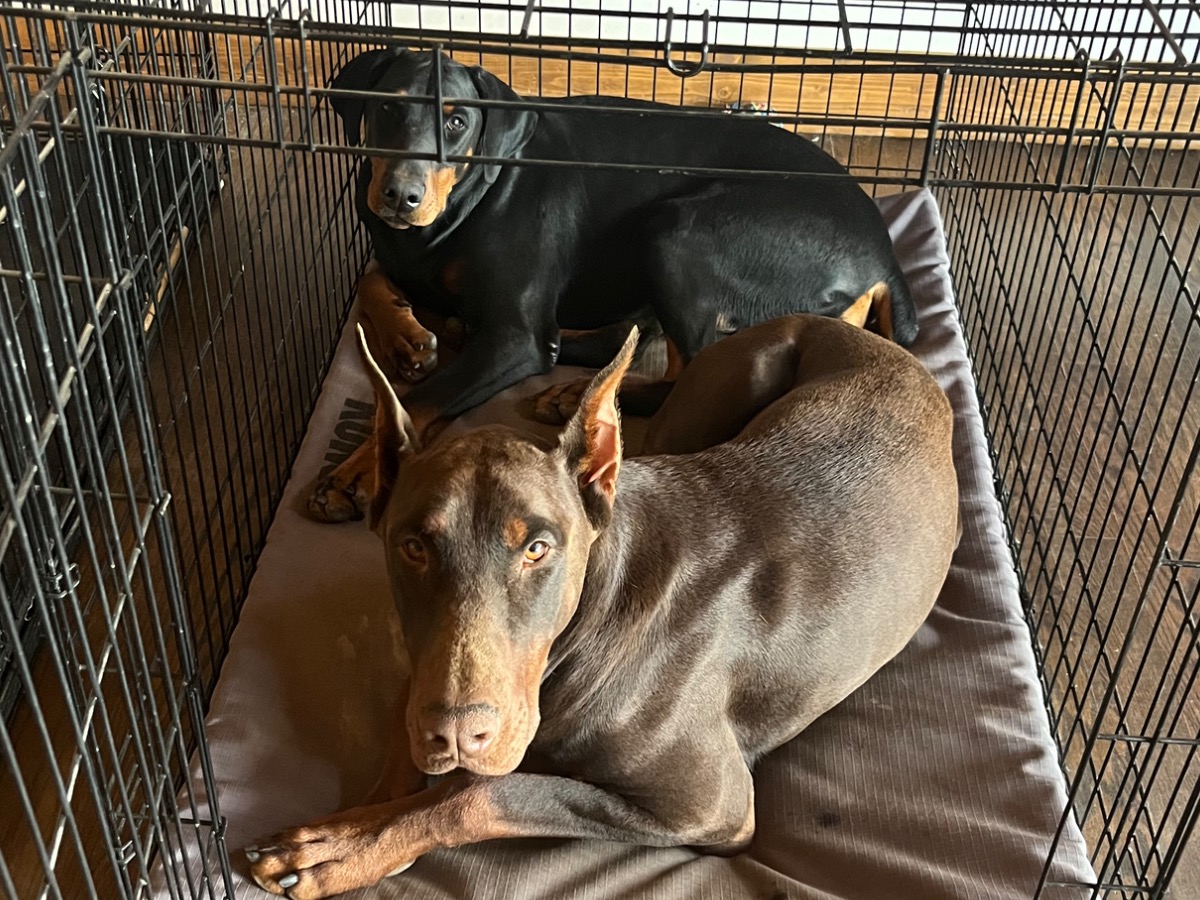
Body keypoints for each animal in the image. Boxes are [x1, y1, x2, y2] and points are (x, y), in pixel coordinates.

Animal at [245, 309, 959, 899]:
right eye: (414, 546)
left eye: (537, 549)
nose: (458, 733)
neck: (596, 614)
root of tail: (872, 338)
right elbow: (411, 721)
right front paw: (358, 821)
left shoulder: (709, 807)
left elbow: (485, 791)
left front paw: (349, 844)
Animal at [308, 47, 918, 522]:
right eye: (388, 106)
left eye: (458, 123)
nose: (400, 195)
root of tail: (885, 256)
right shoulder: (392, 247)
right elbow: (371, 278)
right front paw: (406, 336)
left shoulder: (515, 337)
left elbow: (424, 397)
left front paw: (351, 474)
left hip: (676, 230)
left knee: (694, 366)